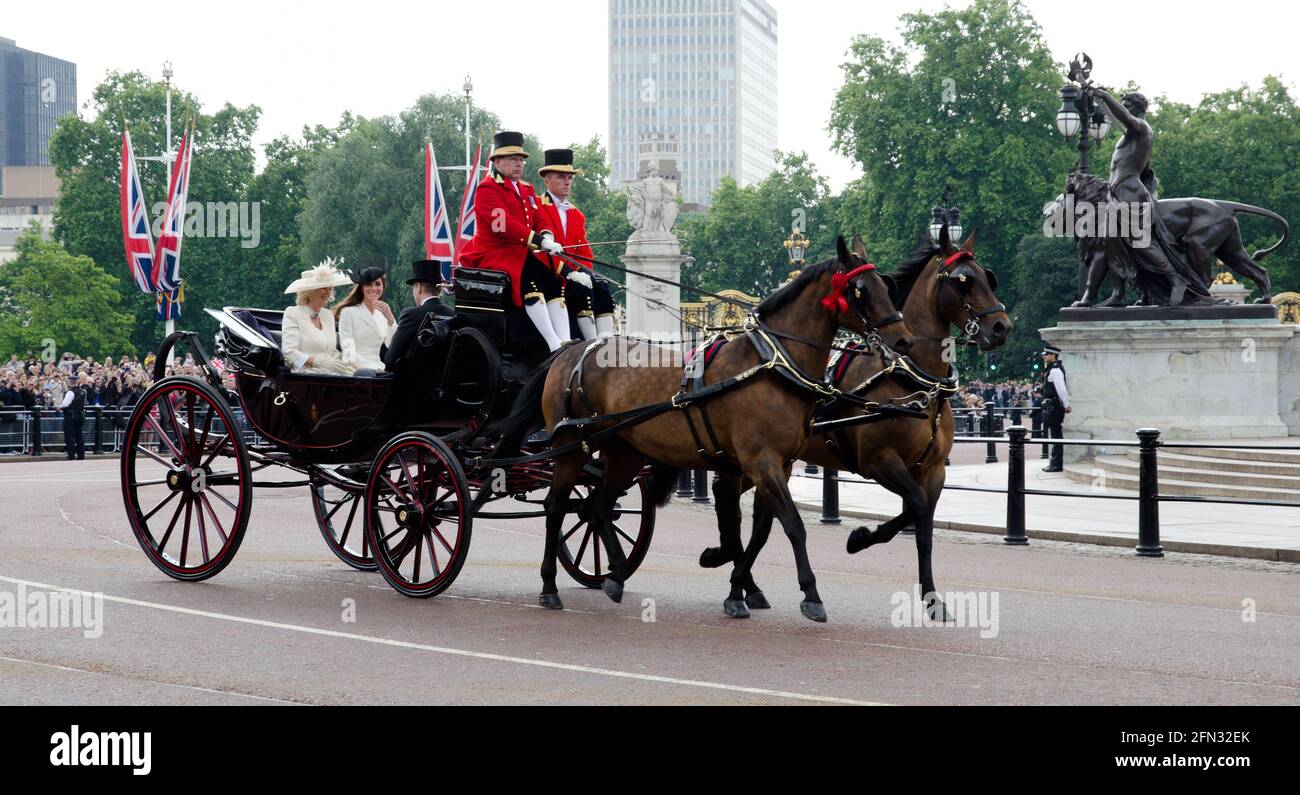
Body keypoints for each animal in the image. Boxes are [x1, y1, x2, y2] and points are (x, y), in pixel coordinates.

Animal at [496, 233, 915, 620]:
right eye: (861, 289)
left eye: (885, 284)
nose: (903, 340)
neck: (773, 365)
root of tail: (569, 350)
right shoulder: (760, 462)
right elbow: (791, 525)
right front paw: (809, 595)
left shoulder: (776, 466)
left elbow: (758, 531)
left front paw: (739, 589)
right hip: (572, 447)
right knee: (556, 506)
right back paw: (550, 586)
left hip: (623, 451)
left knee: (596, 506)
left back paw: (614, 577)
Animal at [707, 227, 1008, 618]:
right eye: (963, 280)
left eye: (988, 276)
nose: (1001, 327)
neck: (914, 381)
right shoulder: (878, 461)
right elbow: (914, 506)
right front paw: (860, 538)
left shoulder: (934, 470)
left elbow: (923, 528)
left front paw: (931, 598)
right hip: (753, 460)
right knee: (730, 506)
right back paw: (732, 572)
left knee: (743, 512)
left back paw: (743, 581)